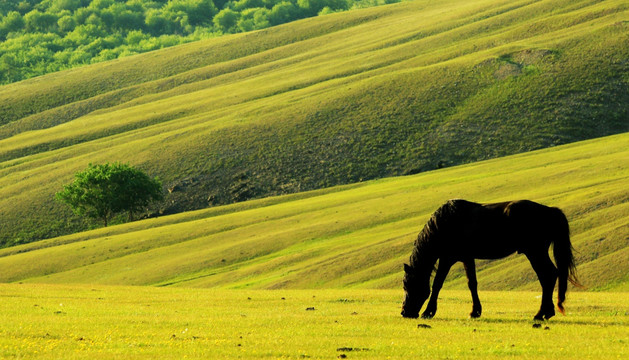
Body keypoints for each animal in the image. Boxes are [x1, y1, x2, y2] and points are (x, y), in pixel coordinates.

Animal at [402, 200, 580, 320]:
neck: (445, 224)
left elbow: (439, 284)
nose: (404, 312)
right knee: (549, 276)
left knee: (547, 276)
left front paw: (428, 312)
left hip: (535, 252)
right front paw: (475, 311)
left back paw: (541, 313)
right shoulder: (464, 258)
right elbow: (470, 283)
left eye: (408, 285)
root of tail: (550, 211)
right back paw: (545, 313)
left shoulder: (449, 258)